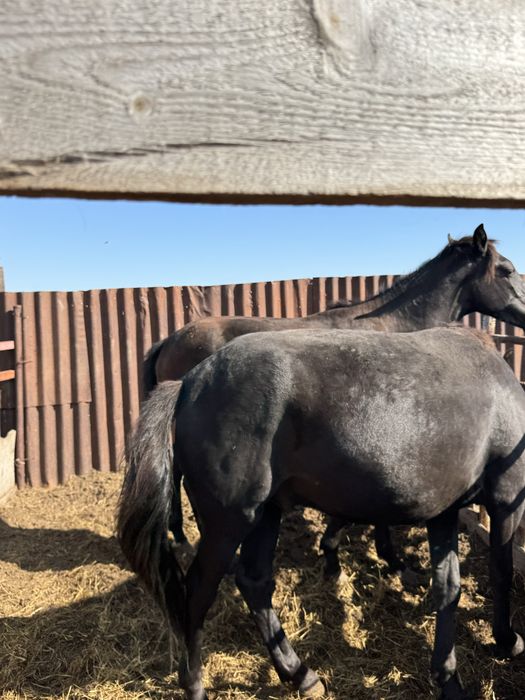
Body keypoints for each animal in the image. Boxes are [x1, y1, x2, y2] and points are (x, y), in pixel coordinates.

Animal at [119, 326, 525, 700]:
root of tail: (188, 382)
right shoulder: (506, 498)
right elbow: (501, 572)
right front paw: (506, 640)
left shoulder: (444, 513)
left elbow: (448, 589)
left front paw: (448, 678)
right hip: (229, 524)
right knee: (198, 592)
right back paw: (196, 684)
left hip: (266, 514)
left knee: (254, 582)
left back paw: (299, 674)